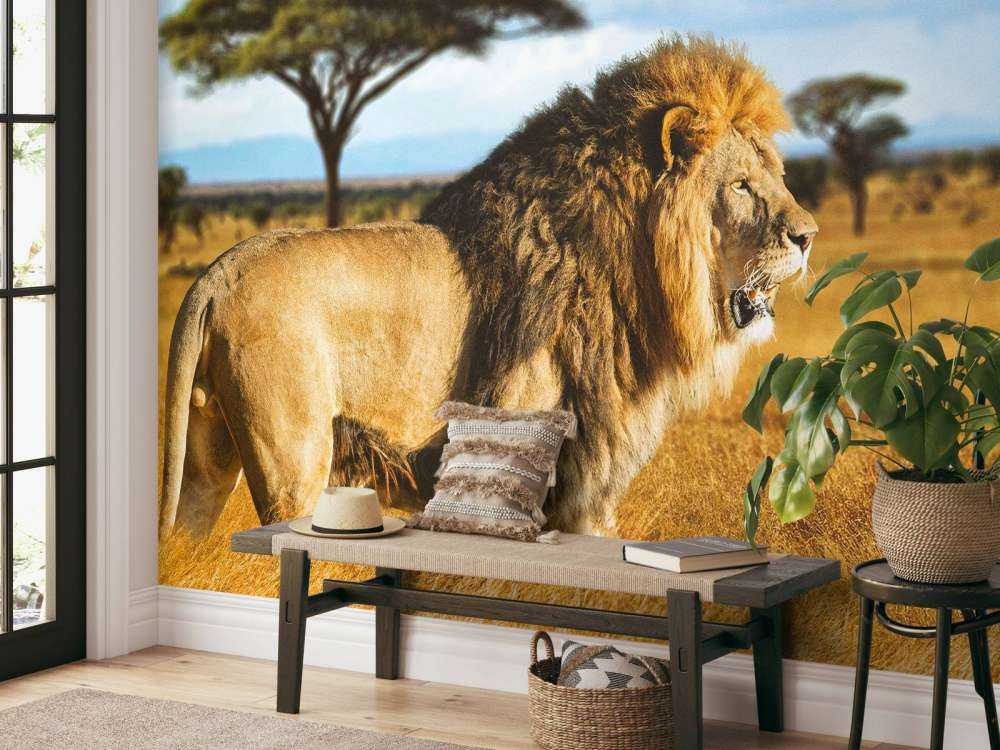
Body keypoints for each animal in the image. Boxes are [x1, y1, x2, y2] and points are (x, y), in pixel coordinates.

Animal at [158, 36, 817, 540]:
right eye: (740, 184)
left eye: (779, 177)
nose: (808, 236)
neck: (639, 271)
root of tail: (214, 276)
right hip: (294, 458)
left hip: (204, 460)